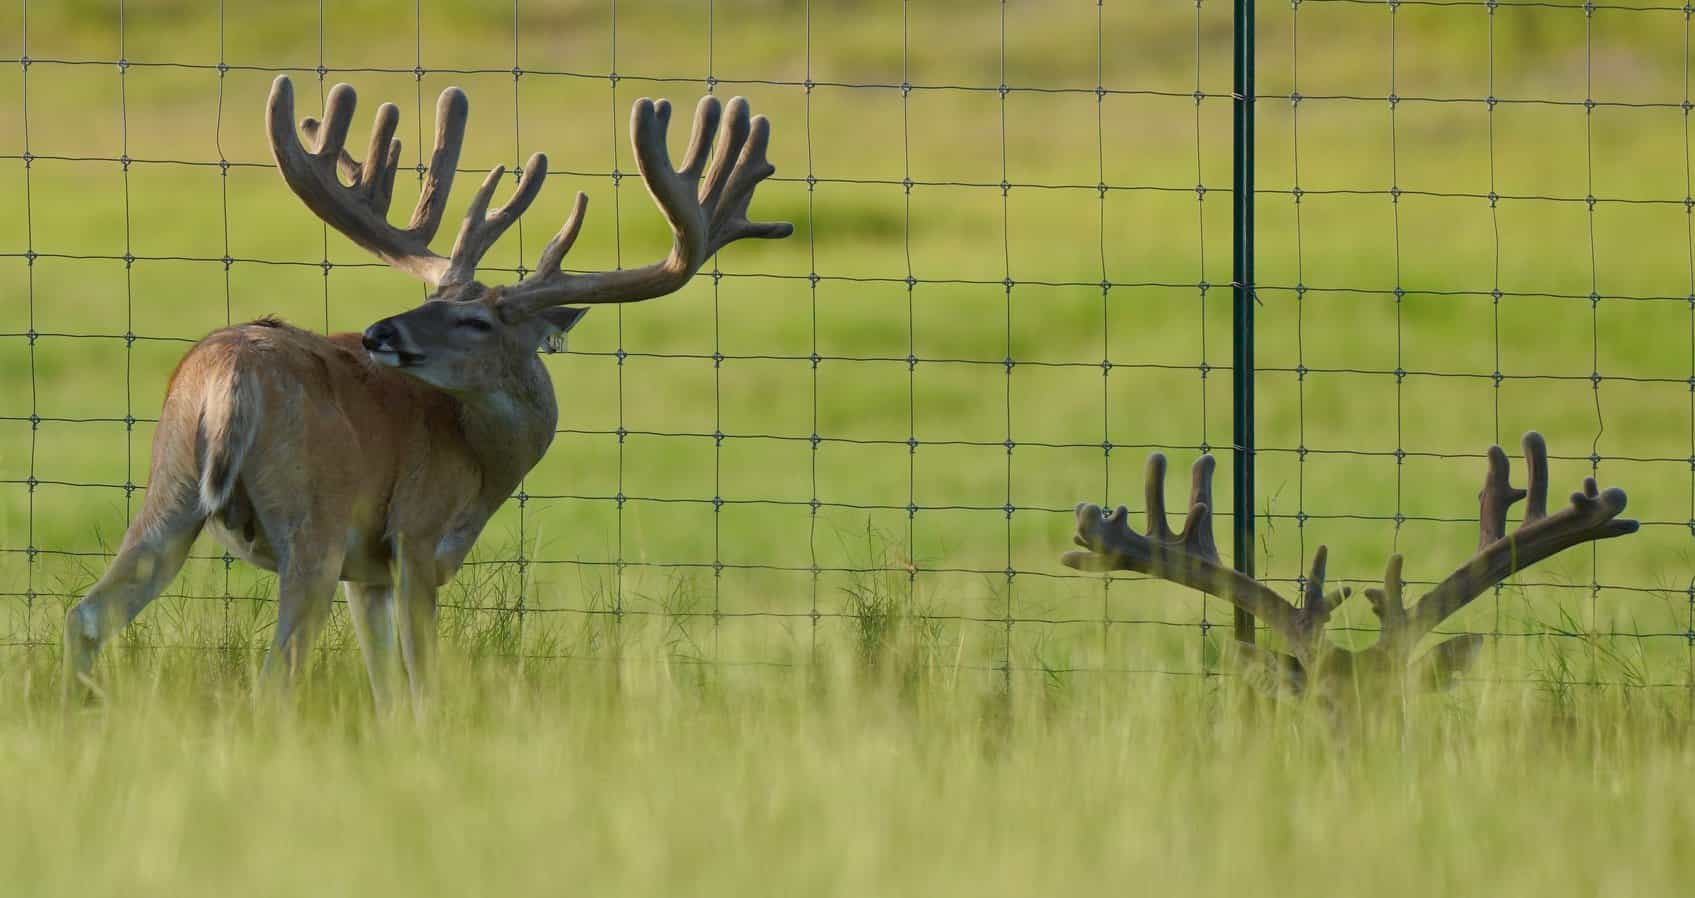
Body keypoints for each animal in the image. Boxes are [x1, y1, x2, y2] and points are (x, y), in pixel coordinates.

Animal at [63, 75, 793, 710]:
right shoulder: (415, 536)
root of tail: (227, 371)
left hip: (171, 484)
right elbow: (422, 686)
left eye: (470, 318)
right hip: (313, 517)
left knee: (87, 616)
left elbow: (387, 691)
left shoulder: (369, 573)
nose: (378, 331)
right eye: (435, 301)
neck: (483, 463)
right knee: (275, 676)